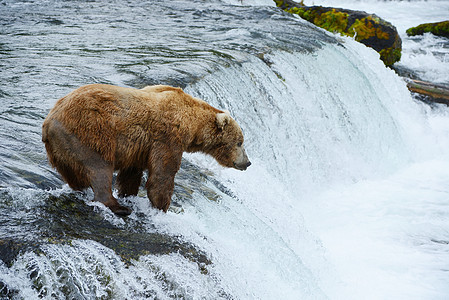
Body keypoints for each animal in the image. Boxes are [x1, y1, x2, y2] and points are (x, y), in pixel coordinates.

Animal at [42, 84, 250, 216]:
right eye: (240, 142)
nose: (247, 162)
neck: (193, 126)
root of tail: (49, 121)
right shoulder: (167, 137)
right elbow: (162, 174)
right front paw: (162, 206)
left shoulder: (140, 148)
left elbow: (131, 174)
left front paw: (129, 194)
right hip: (90, 133)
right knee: (99, 168)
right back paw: (118, 207)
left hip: (60, 150)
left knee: (73, 175)